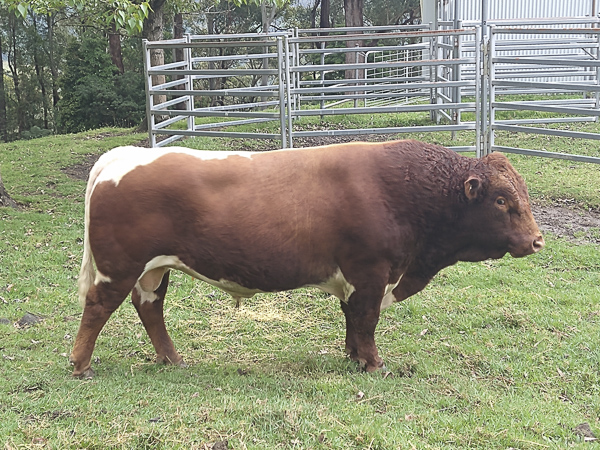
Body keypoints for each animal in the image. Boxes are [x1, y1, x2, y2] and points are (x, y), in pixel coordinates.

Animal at [69, 140, 544, 376]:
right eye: (501, 200)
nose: (538, 240)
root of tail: (124, 156)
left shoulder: (356, 277)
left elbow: (353, 318)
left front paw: (354, 358)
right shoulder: (371, 272)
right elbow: (367, 319)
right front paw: (374, 364)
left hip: (154, 269)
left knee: (150, 307)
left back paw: (172, 360)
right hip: (120, 266)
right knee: (97, 308)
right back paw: (81, 365)